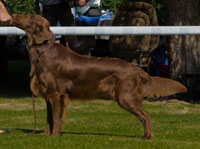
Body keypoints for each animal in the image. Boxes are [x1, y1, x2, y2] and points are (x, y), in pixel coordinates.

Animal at [11, 14, 187, 139]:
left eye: (31, 17)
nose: (13, 15)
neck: (43, 53)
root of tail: (135, 68)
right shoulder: (49, 94)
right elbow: (49, 118)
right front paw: (46, 135)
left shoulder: (56, 94)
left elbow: (55, 117)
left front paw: (54, 136)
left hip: (125, 97)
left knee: (146, 116)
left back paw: (148, 137)